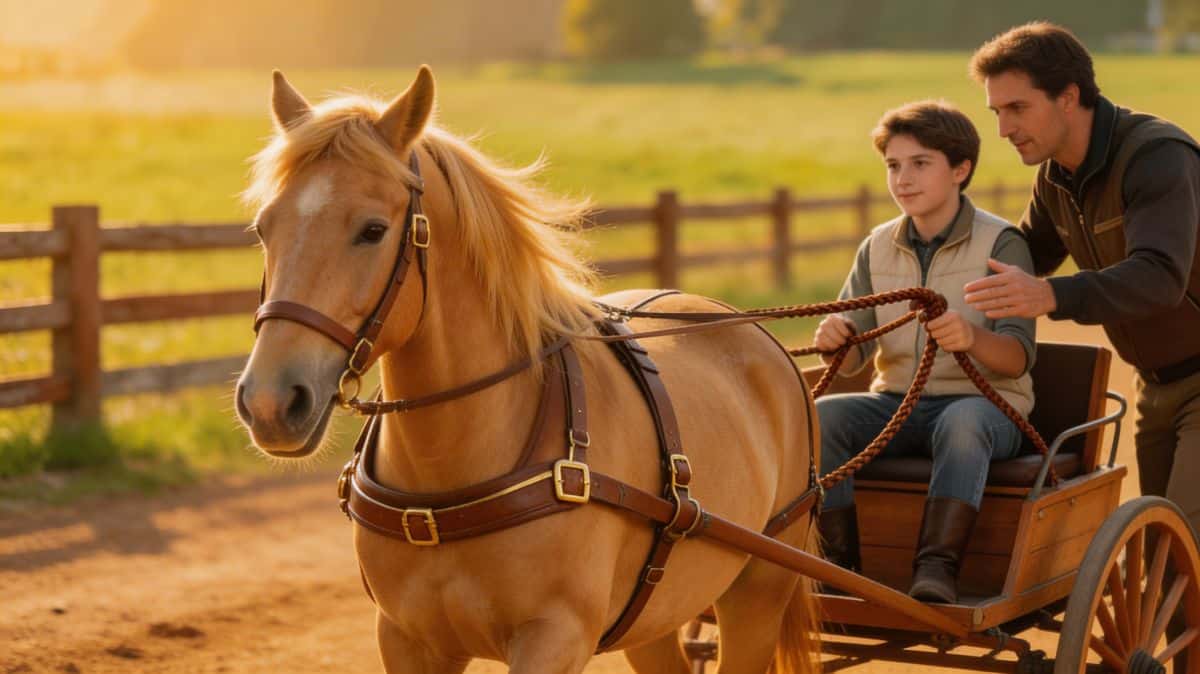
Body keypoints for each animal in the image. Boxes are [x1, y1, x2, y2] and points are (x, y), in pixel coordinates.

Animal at [235, 65, 821, 674]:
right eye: (263, 228)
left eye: (372, 229)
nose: (271, 402)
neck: (449, 478)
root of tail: (757, 336)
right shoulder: (405, 640)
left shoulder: (555, 639)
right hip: (656, 618)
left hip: (758, 591)